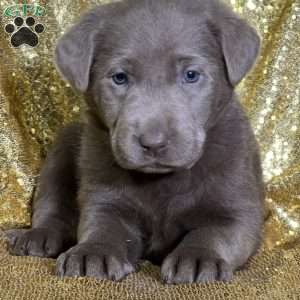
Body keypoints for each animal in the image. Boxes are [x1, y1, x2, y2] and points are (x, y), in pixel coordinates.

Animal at [5, 0, 264, 284]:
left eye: (191, 75)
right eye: (120, 77)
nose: (153, 143)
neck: (160, 181)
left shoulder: (237, 209)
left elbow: (213, 233)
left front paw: (198, 259)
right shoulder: (105, 198)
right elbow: (102, 227)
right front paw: (92, 253)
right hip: (62, 147)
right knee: (51, 203)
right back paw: (36, 237)